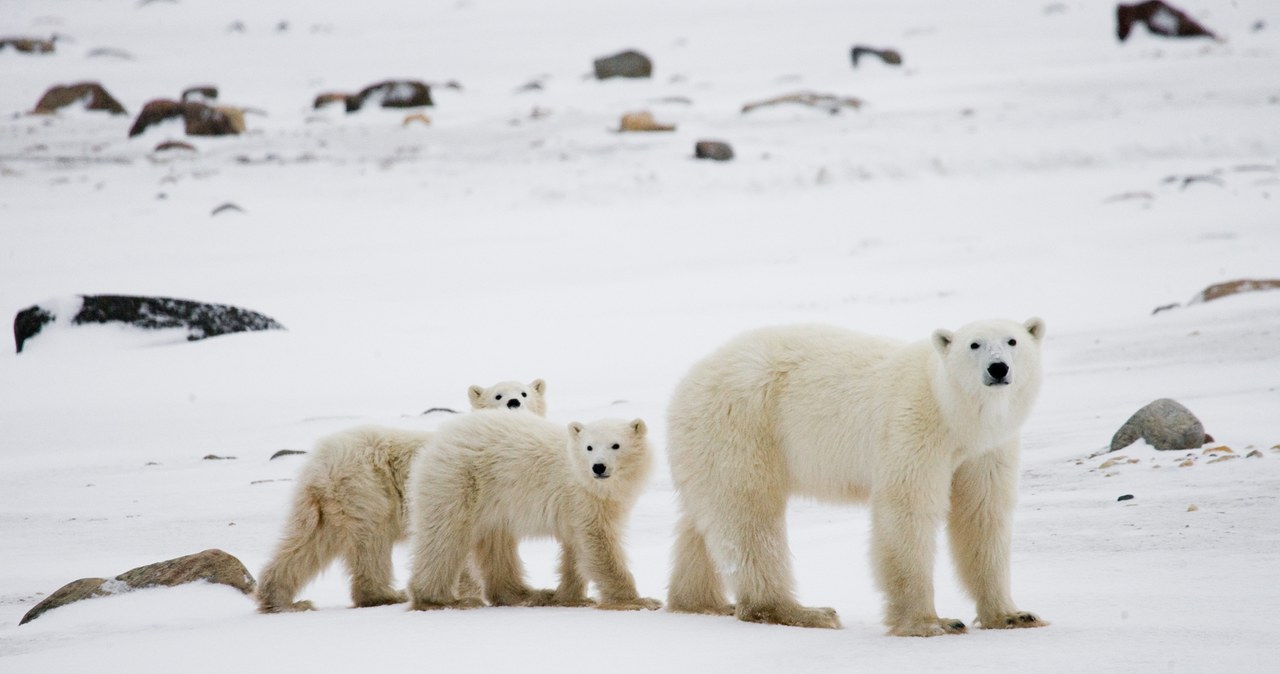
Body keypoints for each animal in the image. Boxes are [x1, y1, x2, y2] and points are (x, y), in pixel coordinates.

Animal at [254, 376, 545, 613]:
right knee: (371, 540)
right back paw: (387, 594)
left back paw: (281, 600)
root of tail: (321, 461)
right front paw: (466, 594)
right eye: (497, 395)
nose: (514, 402)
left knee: (306, 541)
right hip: (367, 485)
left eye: (524, 392)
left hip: (326, 501)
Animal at [404, 409, 660, 613]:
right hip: (458, 480)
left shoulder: (584, 504)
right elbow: (598, 543)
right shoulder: (581, 498)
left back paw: (528, 594)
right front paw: (638, 600)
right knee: (444, 535)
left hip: (493, 501)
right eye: (589, 447)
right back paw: (442, 600)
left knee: (496, 543)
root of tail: (435, 442)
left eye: (616, 445)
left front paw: (571, 597)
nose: (598, 467)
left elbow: (576, 548)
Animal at [665, 319, 1044, 636]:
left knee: (705, 522)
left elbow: (982, 516)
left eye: (1012, 340)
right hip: (743, 423)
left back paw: (700, 601)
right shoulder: (913, 429)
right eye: (974, 344)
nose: (998, 368)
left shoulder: (986, 451)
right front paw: (931, 623)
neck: (954, 415)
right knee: (750, 519)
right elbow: (907, 511)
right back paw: (804, 612)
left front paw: (1014, 615)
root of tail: (688, 380)